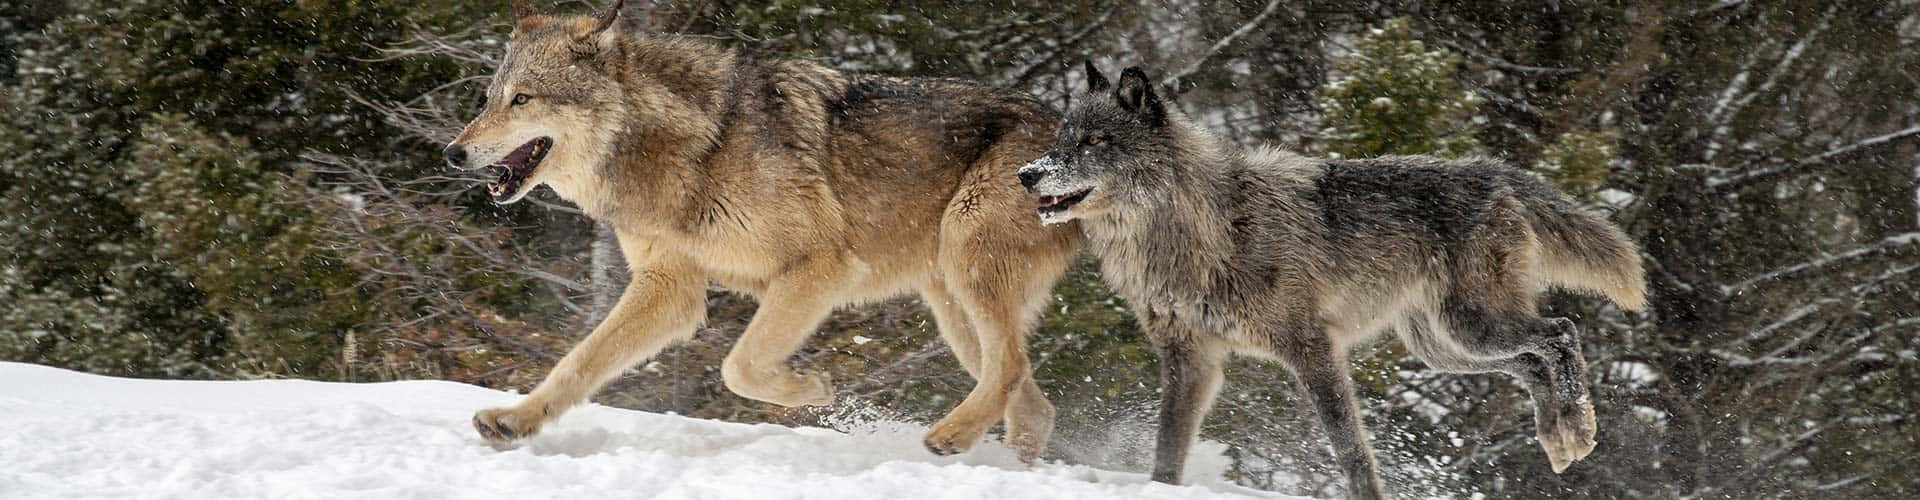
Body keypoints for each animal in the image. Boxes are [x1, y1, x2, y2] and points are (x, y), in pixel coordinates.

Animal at [442, 0, 1080, 462]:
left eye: (523, 99)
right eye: (489, 99)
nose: (452, 153)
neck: (689, 147)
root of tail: (1069, 126)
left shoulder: (821, 267)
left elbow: (740, 366)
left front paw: (811, 391)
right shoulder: (668, 288)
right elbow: (578, 362)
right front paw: (515, 420)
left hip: (967, 269)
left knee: (1013, 369)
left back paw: (951, 436)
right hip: (953, 308)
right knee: (1032, 400)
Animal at [1016, 64, 1647, 498]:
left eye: (1094, 142)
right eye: (1061, 138)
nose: (1027, 174)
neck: (1200, 231)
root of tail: (1493, 171)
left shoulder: (1313, 347)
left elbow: (1349, 447)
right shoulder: (1190, 360)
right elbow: (1167, 451)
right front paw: (1160, 489)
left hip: (1473, 328)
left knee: (1560, 332)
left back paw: (1575, 431)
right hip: (1446, 347)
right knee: (1534, 359)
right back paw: (1558, 440)